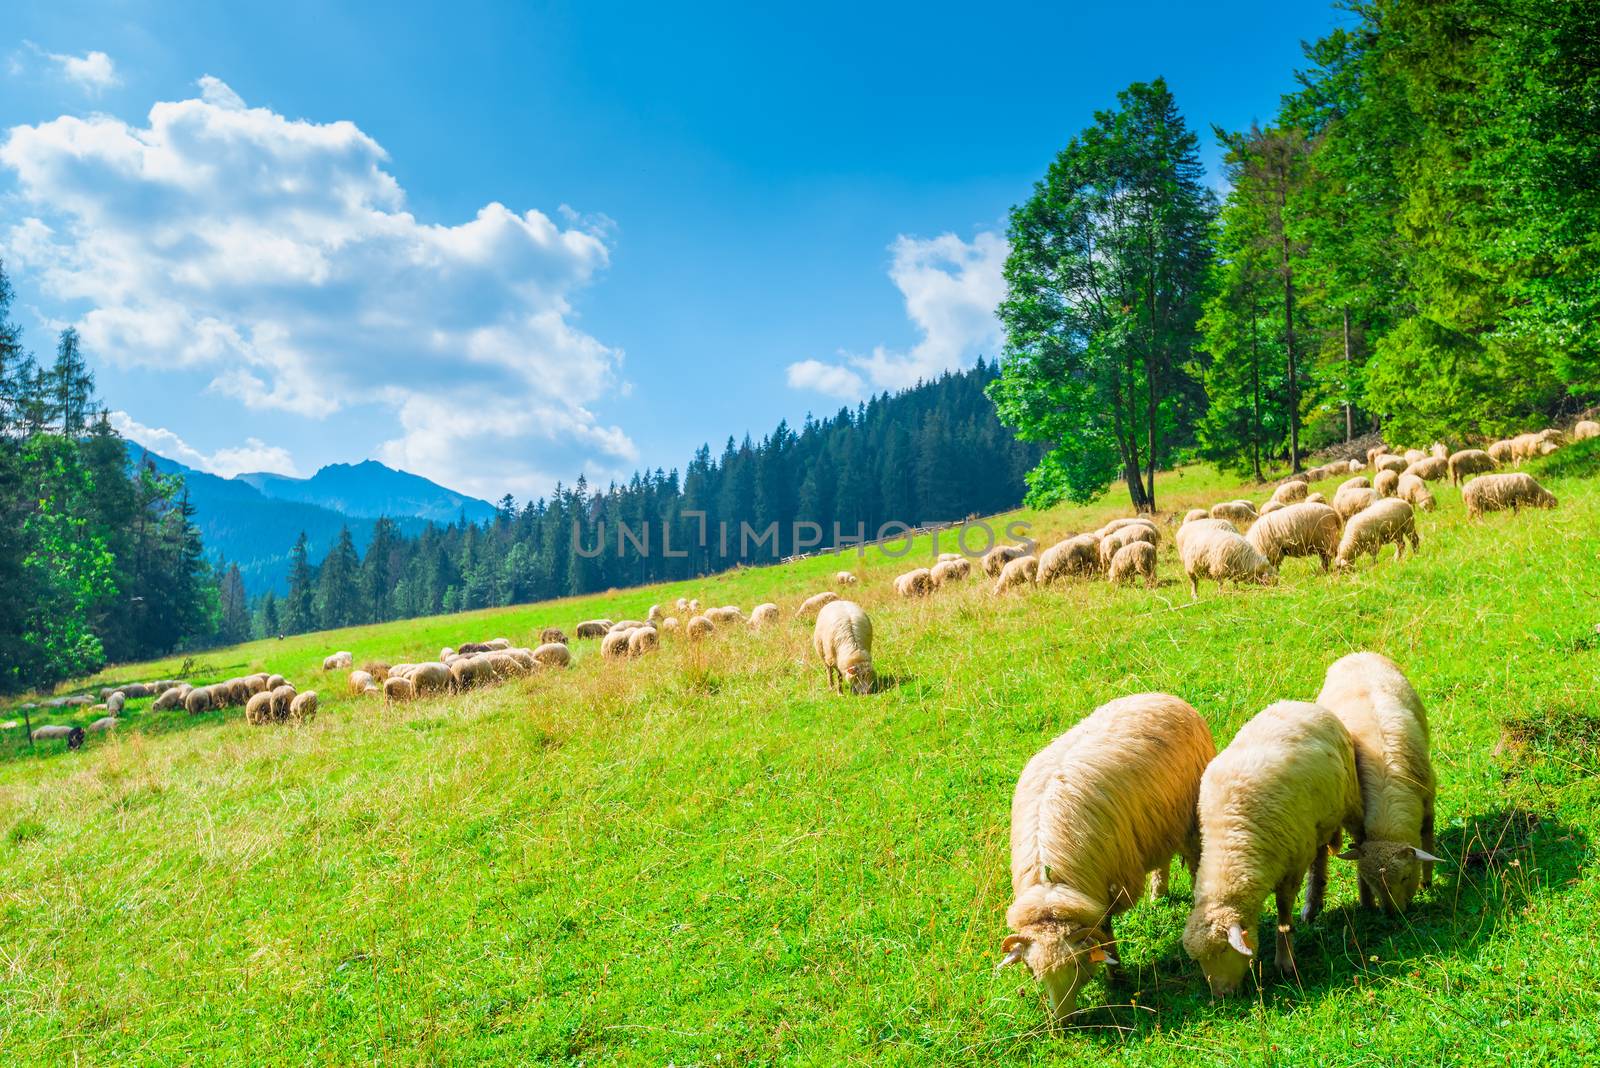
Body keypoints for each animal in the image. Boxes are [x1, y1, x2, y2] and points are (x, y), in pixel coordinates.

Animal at [998, 697, 1209, 1023]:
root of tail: (1163, 695)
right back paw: (1157, 895)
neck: (1051, 892)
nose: (1064, 1023)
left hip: (1189, 815)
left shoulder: (1110, 885)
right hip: (1156, 824)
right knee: (1162, 861)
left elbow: (1106, 932)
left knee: (1196, 861)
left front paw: (1117, 976)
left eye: (1077, 967)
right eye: (1033, 971)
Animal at [1177, 700, 1363, 991]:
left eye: (1223, 950)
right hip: (1317, 824)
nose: (1221, 994)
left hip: (1349, 802)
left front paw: (1285, 960)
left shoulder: (1293, 865)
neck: (1230, 839)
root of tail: (1301, 703)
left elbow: (1283, 913)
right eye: (1198, 960)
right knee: (1320, 856)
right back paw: (1313, 903)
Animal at [1318, 655, 1446, 914]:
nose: (1393, 914)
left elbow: (1428, 842)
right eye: (1370, 882)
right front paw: (1366, 903)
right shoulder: (1356, 825)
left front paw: (1427, 882)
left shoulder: (1428, 807)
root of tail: (1356, 653)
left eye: (1406, 877)